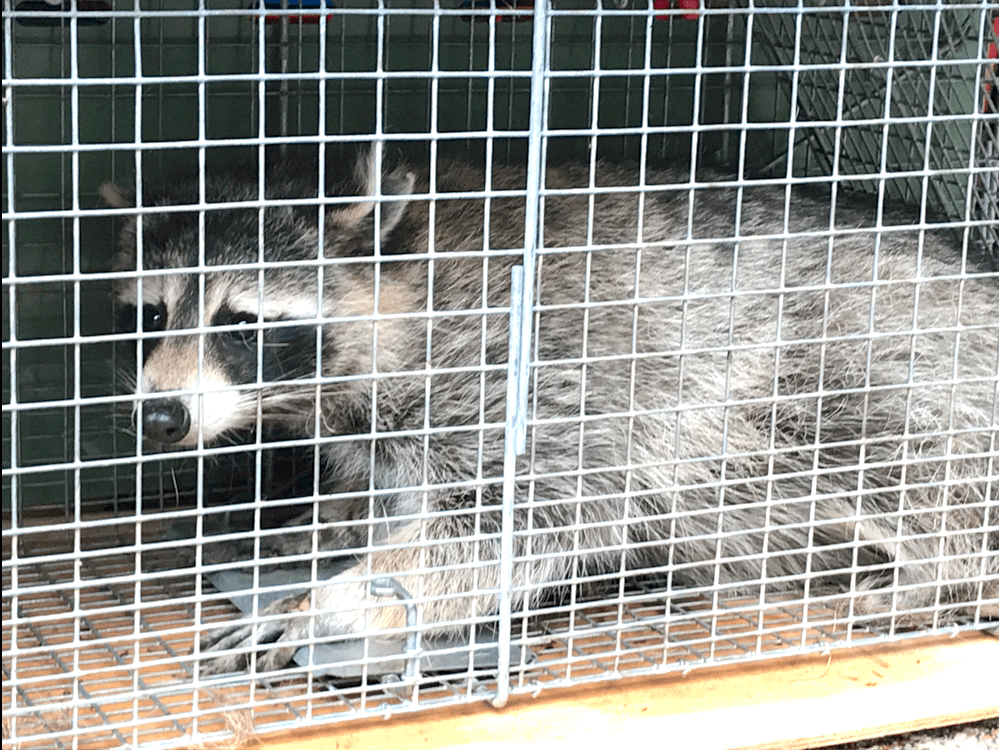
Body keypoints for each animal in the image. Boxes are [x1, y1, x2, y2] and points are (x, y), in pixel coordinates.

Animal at [103, 146, 999, 675]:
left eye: (241, 324)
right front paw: (317, 526)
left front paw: (327, 601)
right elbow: (376, 494)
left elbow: (529, 517)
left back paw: (941, 577)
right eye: (151, 316)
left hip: (870, 358)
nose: (162, 419)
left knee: (900, 464)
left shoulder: (536, 368)